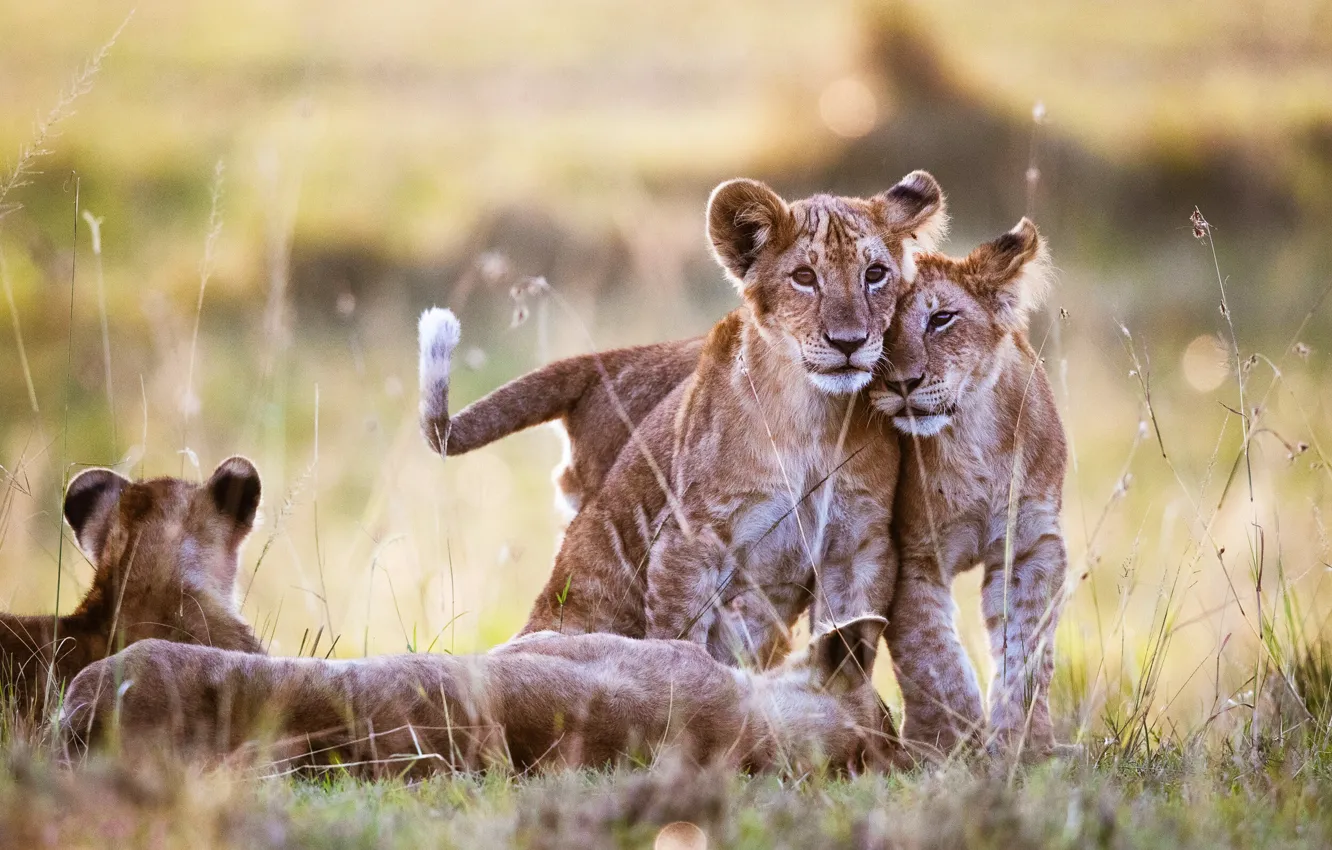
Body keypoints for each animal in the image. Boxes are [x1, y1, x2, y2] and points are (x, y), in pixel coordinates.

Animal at [420, 172, 948, 667]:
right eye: (804, 277)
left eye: (874, 274)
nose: (849, 342)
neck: (814, 418)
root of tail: (603, 360)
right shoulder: (689, 540)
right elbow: (680, 643)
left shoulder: (858, 547)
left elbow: (849, 646)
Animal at [869, 218, 1068, 759]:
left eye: (941, 319)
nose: (903, 384)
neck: (969, 437)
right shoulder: (912, 556)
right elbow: (932, 659)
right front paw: (950, 747)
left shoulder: (1031, 547)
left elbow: (1027, 653)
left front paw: (1021, 745)